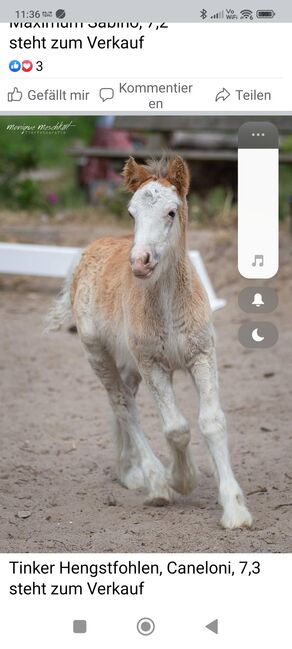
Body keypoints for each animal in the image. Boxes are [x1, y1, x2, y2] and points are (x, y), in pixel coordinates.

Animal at [48, 156, 251, 528]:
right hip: (99, 353)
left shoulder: (202, 354)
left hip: (128, 362)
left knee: (123, 402)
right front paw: (180, 478)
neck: (169, 304)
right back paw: (155, 481)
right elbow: (176, 427)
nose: (139, 261)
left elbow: (212, 421)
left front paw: (234, 508)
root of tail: (87, 252)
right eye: (132, 213)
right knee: (123, 406)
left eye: (171, 211)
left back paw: (129, 473)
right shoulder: (154, 364)